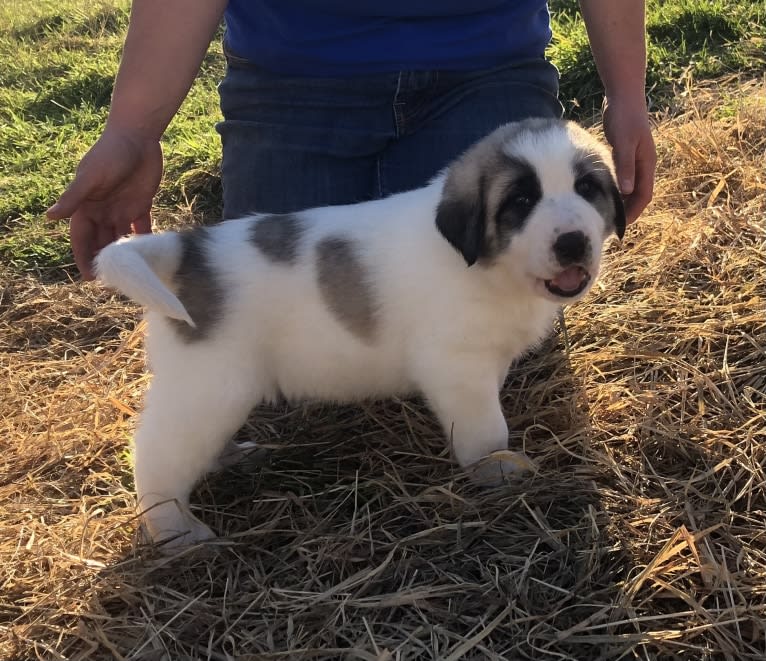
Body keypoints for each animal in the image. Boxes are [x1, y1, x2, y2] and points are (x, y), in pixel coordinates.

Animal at [96, 118, 624, 548]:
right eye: (521, 201)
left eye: (586, 187)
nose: (572, 242)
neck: (487, 268)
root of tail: (189, 251)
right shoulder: (457, 366)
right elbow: (486, 428)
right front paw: (496, 467)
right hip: (210, 388)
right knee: (156, 457)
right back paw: (177, 532)